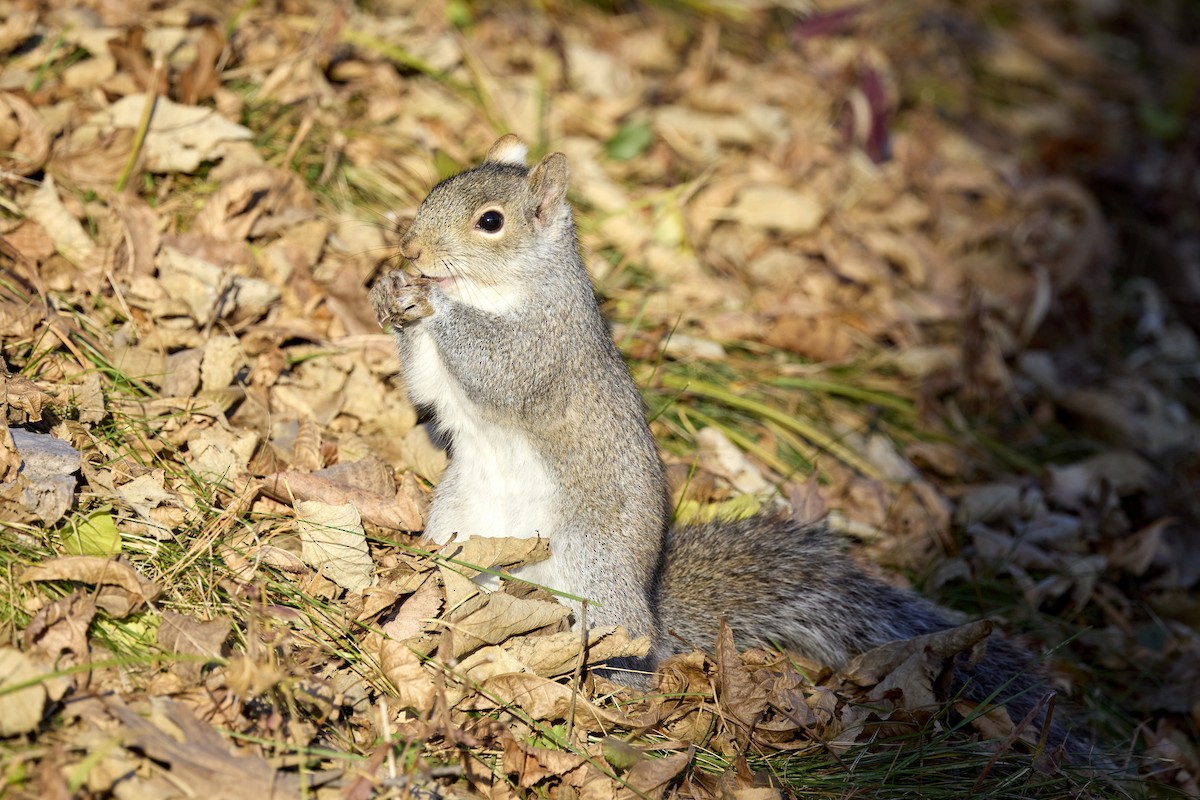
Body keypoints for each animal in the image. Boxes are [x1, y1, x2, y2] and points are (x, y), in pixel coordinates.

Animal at [369, 135, 1093, 757]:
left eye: (490, 222)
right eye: (439, 187)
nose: (409, 247)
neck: (505, 286)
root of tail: (652, 615)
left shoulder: (542, 347)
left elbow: (494, 364)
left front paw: (430, 299)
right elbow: (429, 384)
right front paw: (389, 293)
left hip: (597, 583)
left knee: (627, 658)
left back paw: (612, 695)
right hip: (460, 522)